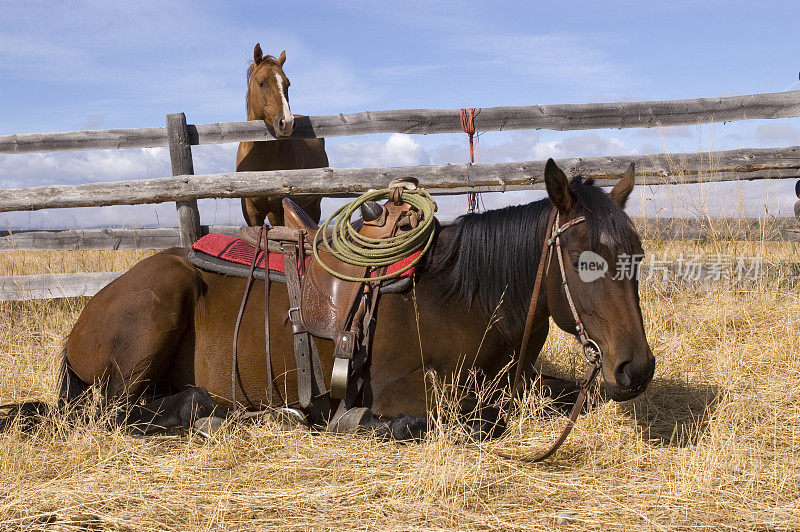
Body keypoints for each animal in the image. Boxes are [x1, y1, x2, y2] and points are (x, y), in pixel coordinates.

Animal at [236, 44, 330, 227]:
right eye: (262, 83)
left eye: (287, 84)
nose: (286, 122)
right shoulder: (251, 213)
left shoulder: (278, 211)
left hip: (314, 206)